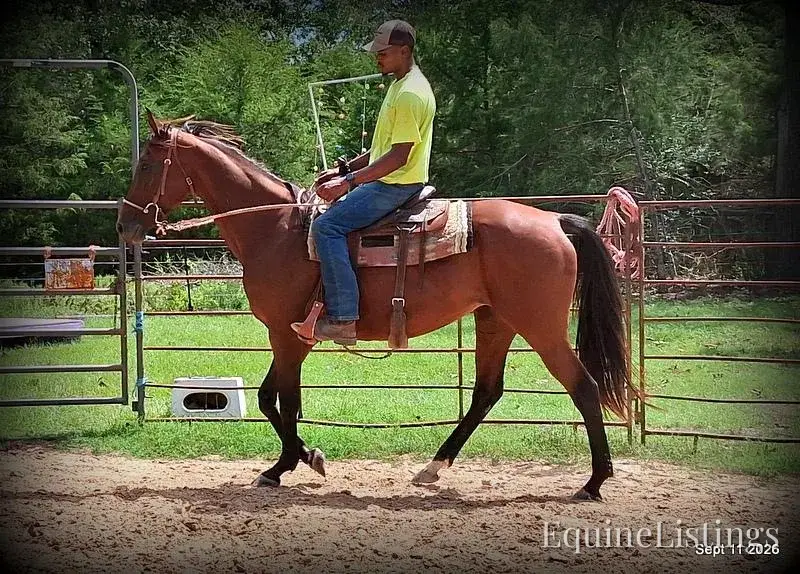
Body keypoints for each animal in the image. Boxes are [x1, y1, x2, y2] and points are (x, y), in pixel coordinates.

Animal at [117, 112, 631, 501]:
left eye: (147, 166)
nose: (125, 225)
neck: (276, 230)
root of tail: (554, 220)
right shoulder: (291, 335)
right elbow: (270, 399)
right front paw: (297, 460)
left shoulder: (285, 334)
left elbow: (285, 401)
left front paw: (293, 462)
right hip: (496, 320)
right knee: (486, 392)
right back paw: (432, 468)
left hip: (540, 326)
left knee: (583, 386)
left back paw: (594, 482)